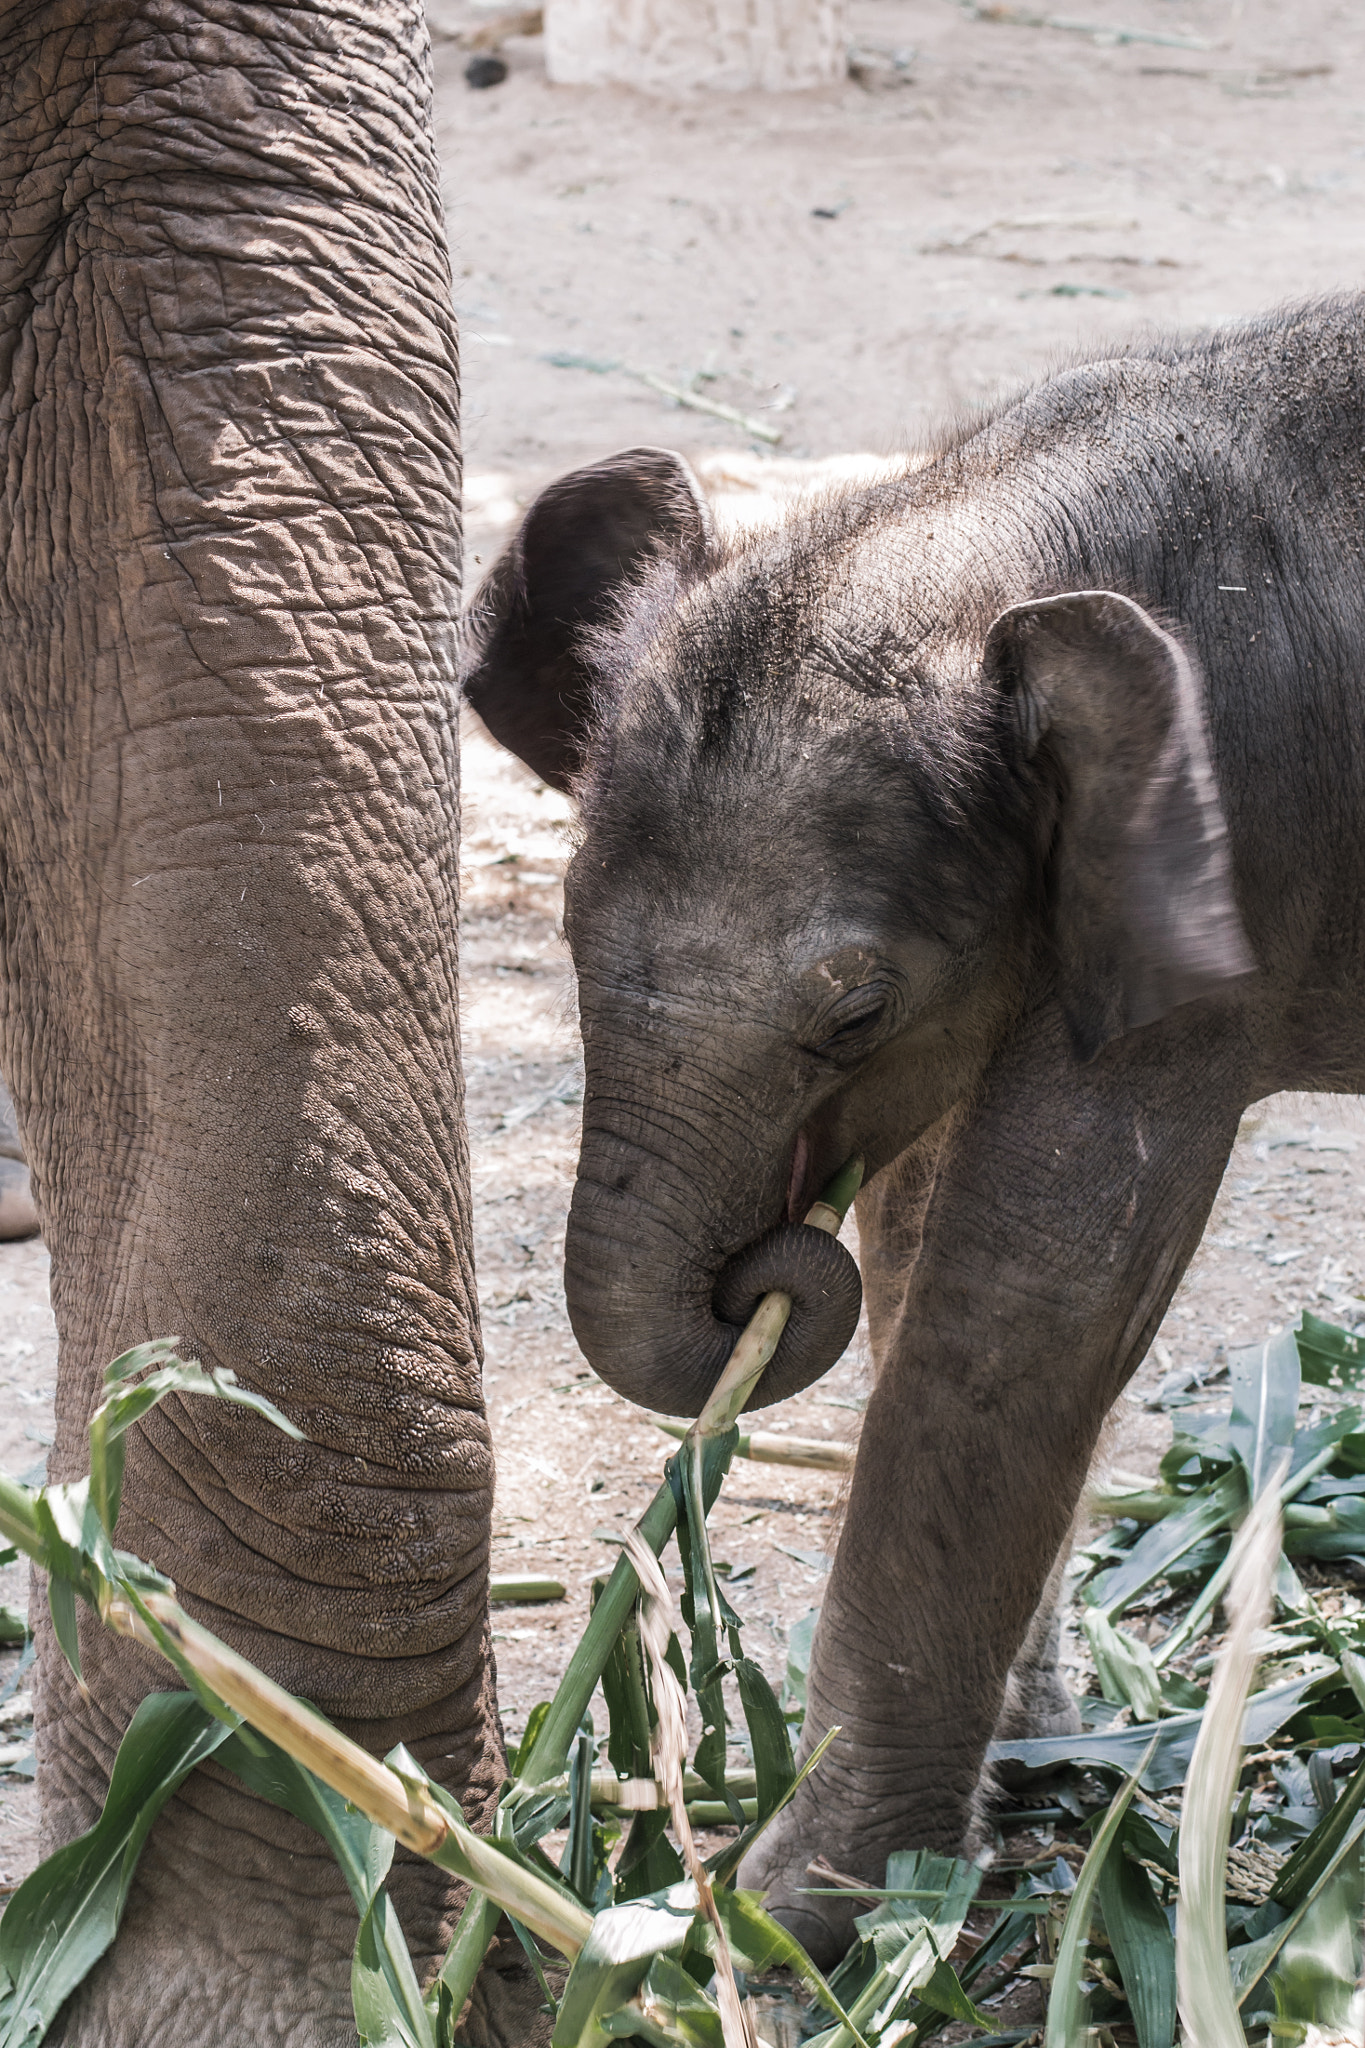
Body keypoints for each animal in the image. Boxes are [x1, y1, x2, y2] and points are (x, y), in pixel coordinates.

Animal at [464, 292, 1365, 1949]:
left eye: (853, 1015)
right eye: (556, 931)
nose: (761, 1272)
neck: (978, 523)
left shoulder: (1227, 869)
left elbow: (1027, 1289)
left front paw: (788, 1922)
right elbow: (925, 1220)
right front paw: (1024, 1762)